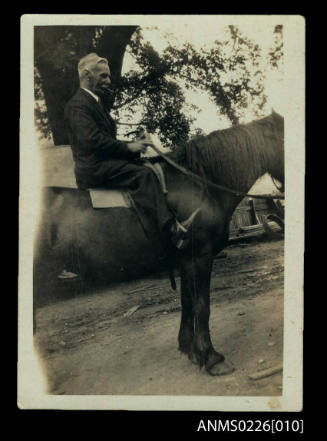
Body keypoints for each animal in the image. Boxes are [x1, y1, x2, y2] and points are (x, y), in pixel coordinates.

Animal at [34, 110, 284, 374]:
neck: (200, 186)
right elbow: (202, 306)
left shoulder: (185, 261)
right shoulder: (200, 258)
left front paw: (191, 350)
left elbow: (187, 303)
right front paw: (211, 357)